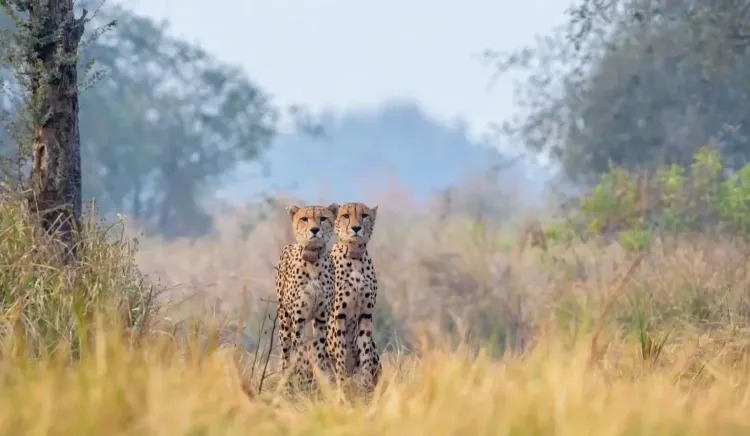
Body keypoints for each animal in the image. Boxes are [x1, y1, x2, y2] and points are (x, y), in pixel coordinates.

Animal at [274, 203, 338, 389]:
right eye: (304, 219)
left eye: (323, 218)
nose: (314, 229)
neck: (312, 261)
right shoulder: (299, 318)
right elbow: (301, 352)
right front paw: (302, 382)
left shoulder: (322, 319)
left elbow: (318, 352)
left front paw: (318, 381)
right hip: (284, 321)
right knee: (286, 352)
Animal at [325, 202, 382, 392]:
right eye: (345, 216)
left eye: (364, 215)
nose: (356, 228)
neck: (355, 257)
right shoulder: (338, 315)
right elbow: (340, 352)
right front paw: (342, 384)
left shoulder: (365, 314)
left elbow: (365, 351)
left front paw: (365, 383)